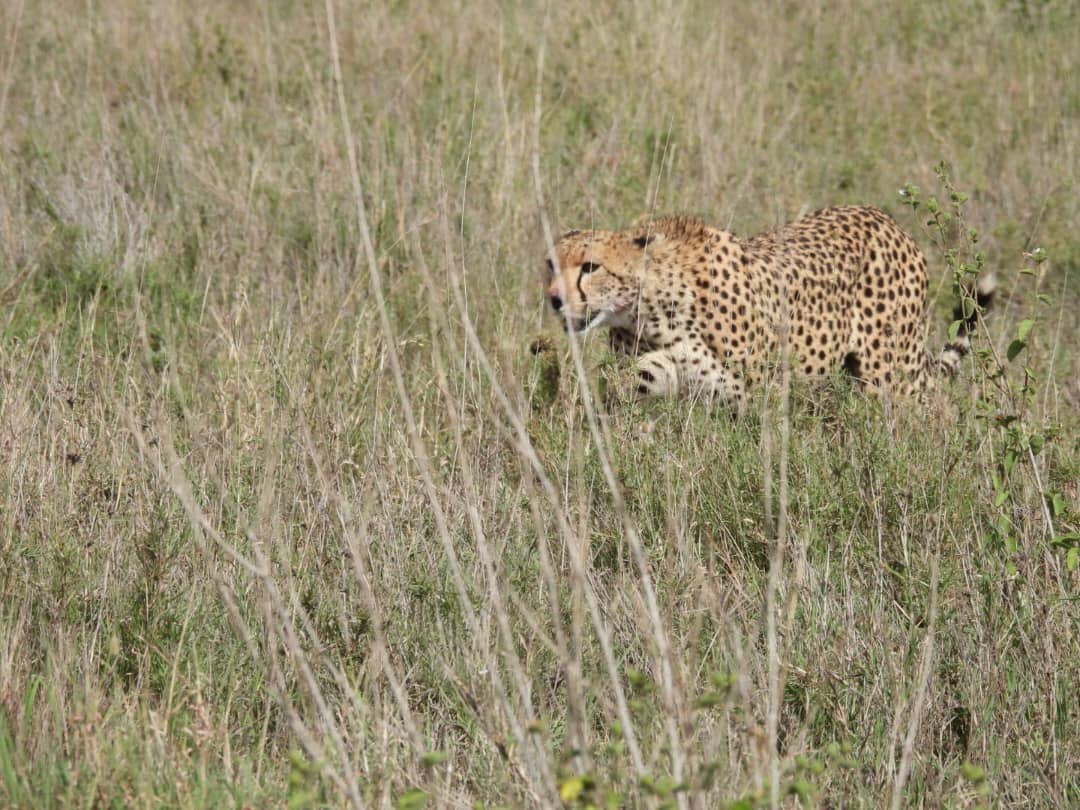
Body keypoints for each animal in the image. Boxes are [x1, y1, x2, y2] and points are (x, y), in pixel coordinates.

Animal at [544, 206, 989, 403]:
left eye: (590, 267)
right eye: (550, 264)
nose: (554, 299)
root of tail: (886, 219)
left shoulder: (761, 389)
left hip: (891, 376)